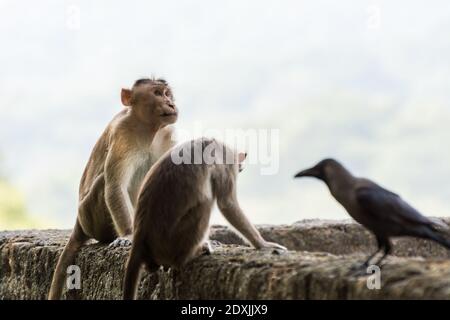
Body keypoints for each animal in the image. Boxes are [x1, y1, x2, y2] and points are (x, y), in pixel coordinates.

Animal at [47, 77, 178, 300]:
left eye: (167, 93)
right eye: (157, 93)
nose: (170, 103)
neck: (149, 129)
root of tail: (78, 223)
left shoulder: (169, 135)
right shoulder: (122, 133)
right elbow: (116, 186)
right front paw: (128, 236)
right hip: (91, 217)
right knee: (104, 182)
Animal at [123, 138, 286, 300]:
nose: (241, 168)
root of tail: (140, 236)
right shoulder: (226, 164)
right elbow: (227, 203)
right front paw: (263, 244)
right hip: (171, 242)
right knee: (206, 203)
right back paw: (191, 254)